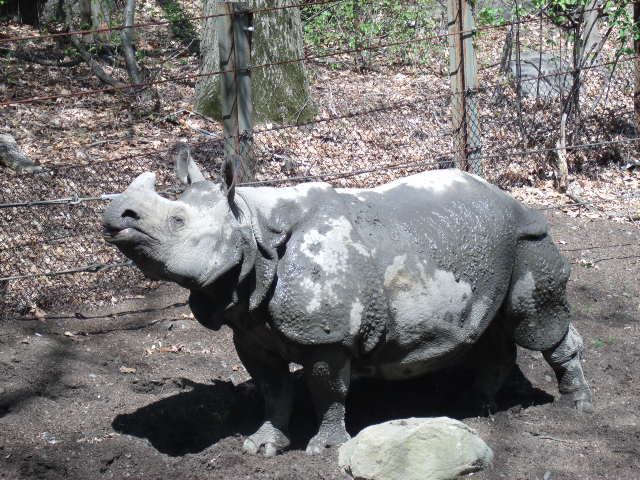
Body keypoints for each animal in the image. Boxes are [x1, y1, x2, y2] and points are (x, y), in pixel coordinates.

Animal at [102, 151, 593, 456]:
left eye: (177, 221)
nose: (114, 215)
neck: (251, 228)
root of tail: (509, 196)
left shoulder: (328, 337)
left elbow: (328, 391)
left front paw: (325, 448)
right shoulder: (249, 326)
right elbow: (272, 389)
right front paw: (263, 445)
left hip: (527, 238)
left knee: (535, 325)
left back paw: (576, 406)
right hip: (486, 246)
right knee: (493, 330)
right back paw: (476, 405)